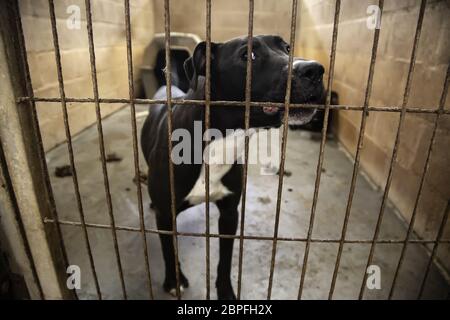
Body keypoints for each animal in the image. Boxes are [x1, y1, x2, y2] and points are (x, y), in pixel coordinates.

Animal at [141, 35, 324, 300]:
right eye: (248, 55)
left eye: (288, 47)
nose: (315, 70)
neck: (219, 140)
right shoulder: (166, 215)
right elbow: (169, 249)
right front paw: (174, 280)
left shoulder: (230, 214)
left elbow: (225, 260)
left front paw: (226, 291)